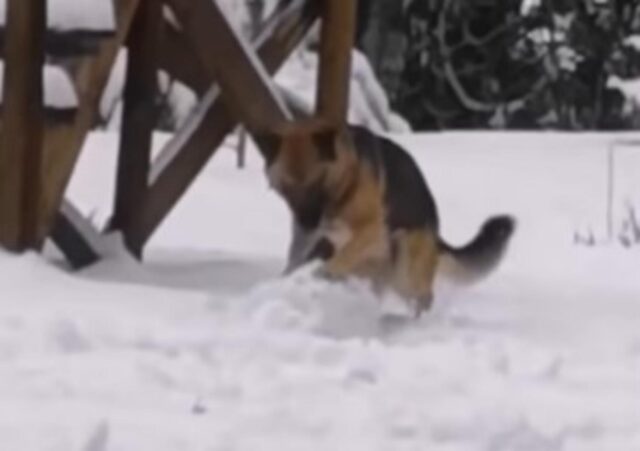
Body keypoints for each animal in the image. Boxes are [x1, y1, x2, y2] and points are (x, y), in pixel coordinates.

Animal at [255, 120, 516, 316]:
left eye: (318, 182)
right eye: (287, 188)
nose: (308, 222)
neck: (346, 182)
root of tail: (436, 234)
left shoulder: (372, 229)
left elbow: (342, 256)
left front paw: (322, 273)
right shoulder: (306, 238)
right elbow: (296, 260)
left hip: (405, 261)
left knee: (423, 296)